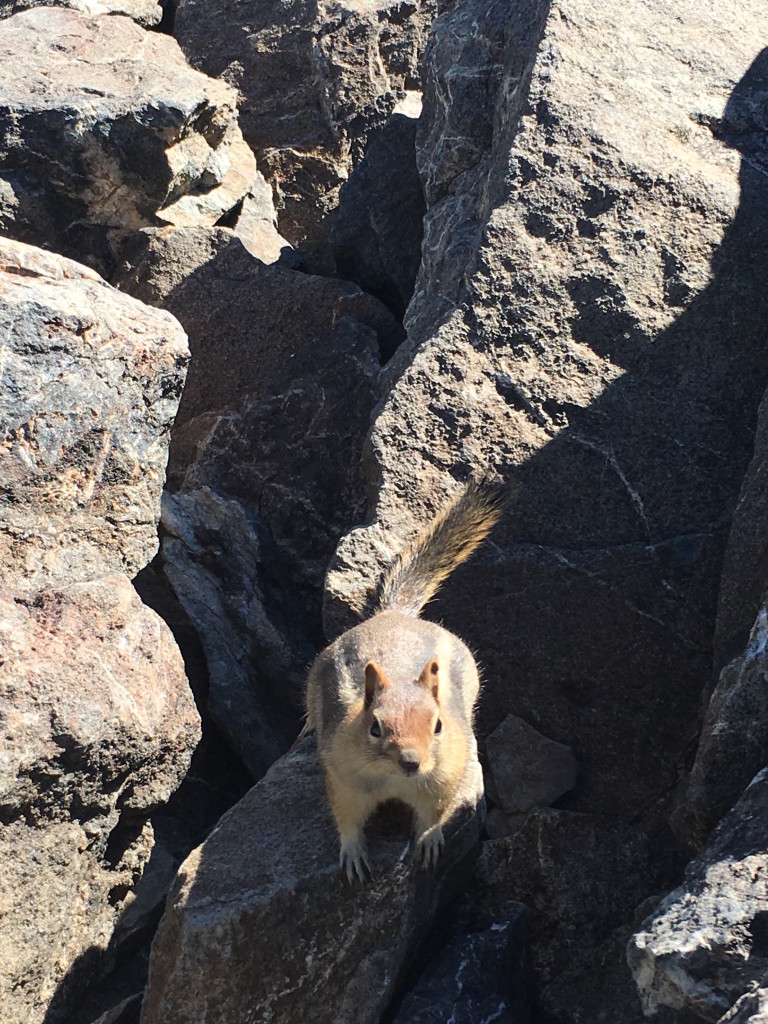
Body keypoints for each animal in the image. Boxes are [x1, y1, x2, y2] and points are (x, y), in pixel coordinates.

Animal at [304, 478, 505, 883]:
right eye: (375, 728)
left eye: (438, 726)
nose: (411, 762)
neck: (396, 781)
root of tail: (393, 615)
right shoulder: (344, 779)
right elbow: (346, 820)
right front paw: (354, 855)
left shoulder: (442, 781)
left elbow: (433, 817)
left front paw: (428, 843)